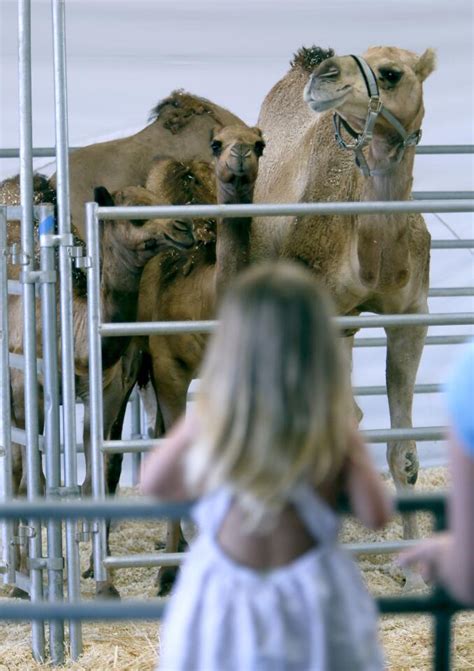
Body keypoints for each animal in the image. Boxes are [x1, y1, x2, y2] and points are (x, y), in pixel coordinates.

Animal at [4, 177, 193, 600]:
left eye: (159, 198)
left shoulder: (107, 390)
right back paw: (17, 576)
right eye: (136, 213)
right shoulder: (29, 393)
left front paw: (104, 583)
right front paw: (33, 584)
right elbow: (31, 480)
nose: (185, 227)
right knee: (19, 470)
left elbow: (97, 476)